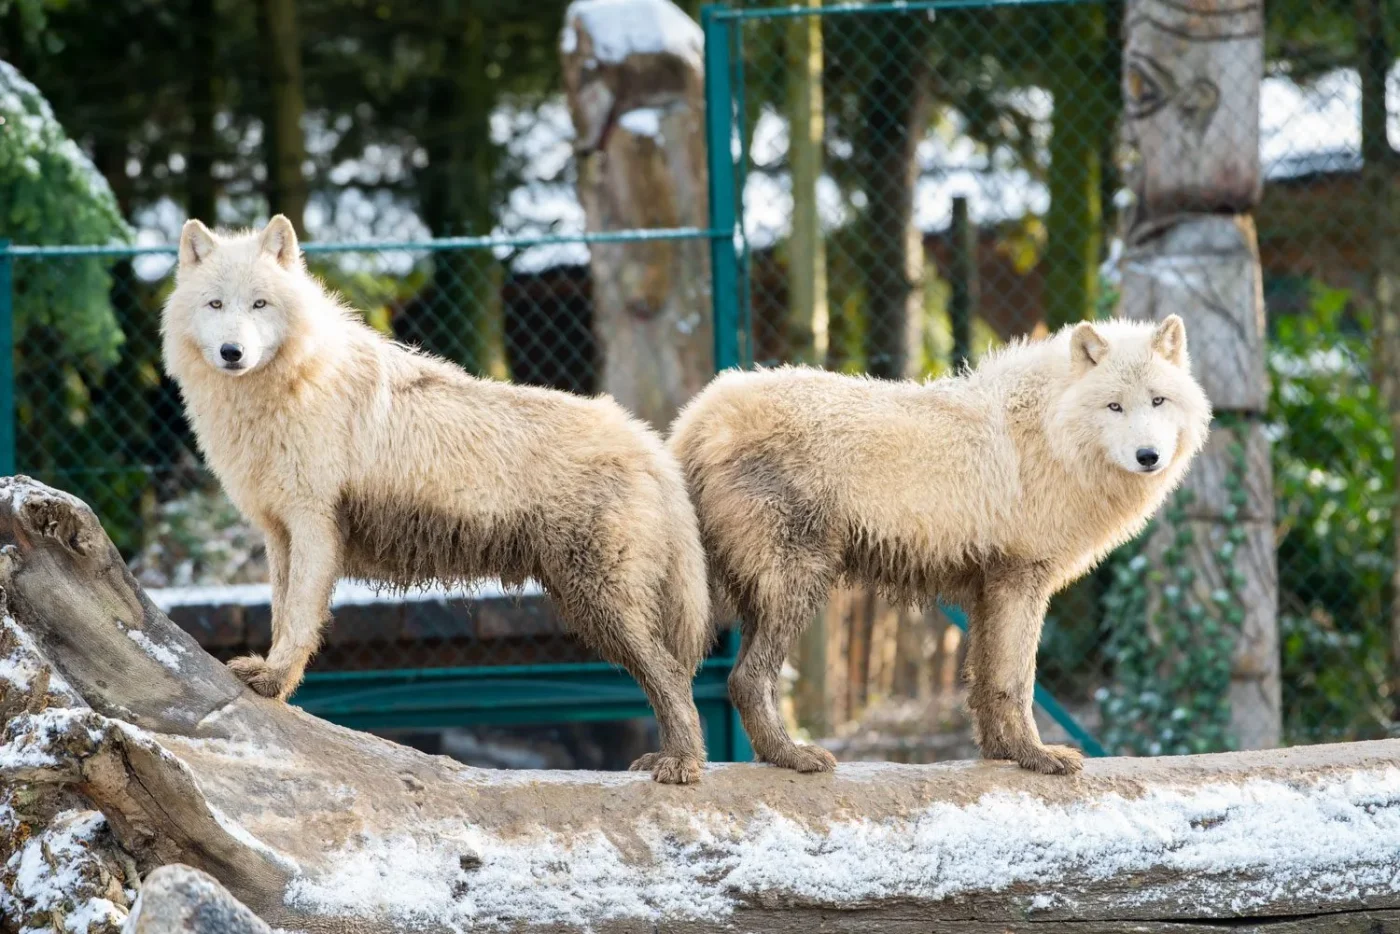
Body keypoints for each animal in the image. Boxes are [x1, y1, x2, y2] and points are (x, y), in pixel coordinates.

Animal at [162, 216, 711, 784]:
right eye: (216, 304)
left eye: (260, 304)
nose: (232, 353)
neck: (289, 386)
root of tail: (646, 439)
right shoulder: (278, 533)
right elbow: (280, 615)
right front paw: (276, 685)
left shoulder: (313, 524)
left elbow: (297, 622)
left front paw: (270, 682)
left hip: (601, 603)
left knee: (673, 675)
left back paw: (683, 762)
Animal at [669, 316, 1212, 775]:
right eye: (1114, 406)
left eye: (1158, 401)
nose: (1148, 456)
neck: (1050, 432)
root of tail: (695, 418)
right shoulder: (1022, 580)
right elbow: (1016, 681)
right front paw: (1037, 757)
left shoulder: (990, 589)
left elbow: (987, 684)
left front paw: (1004, 754)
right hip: (793, 587)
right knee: (745, 679)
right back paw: (792, 757)